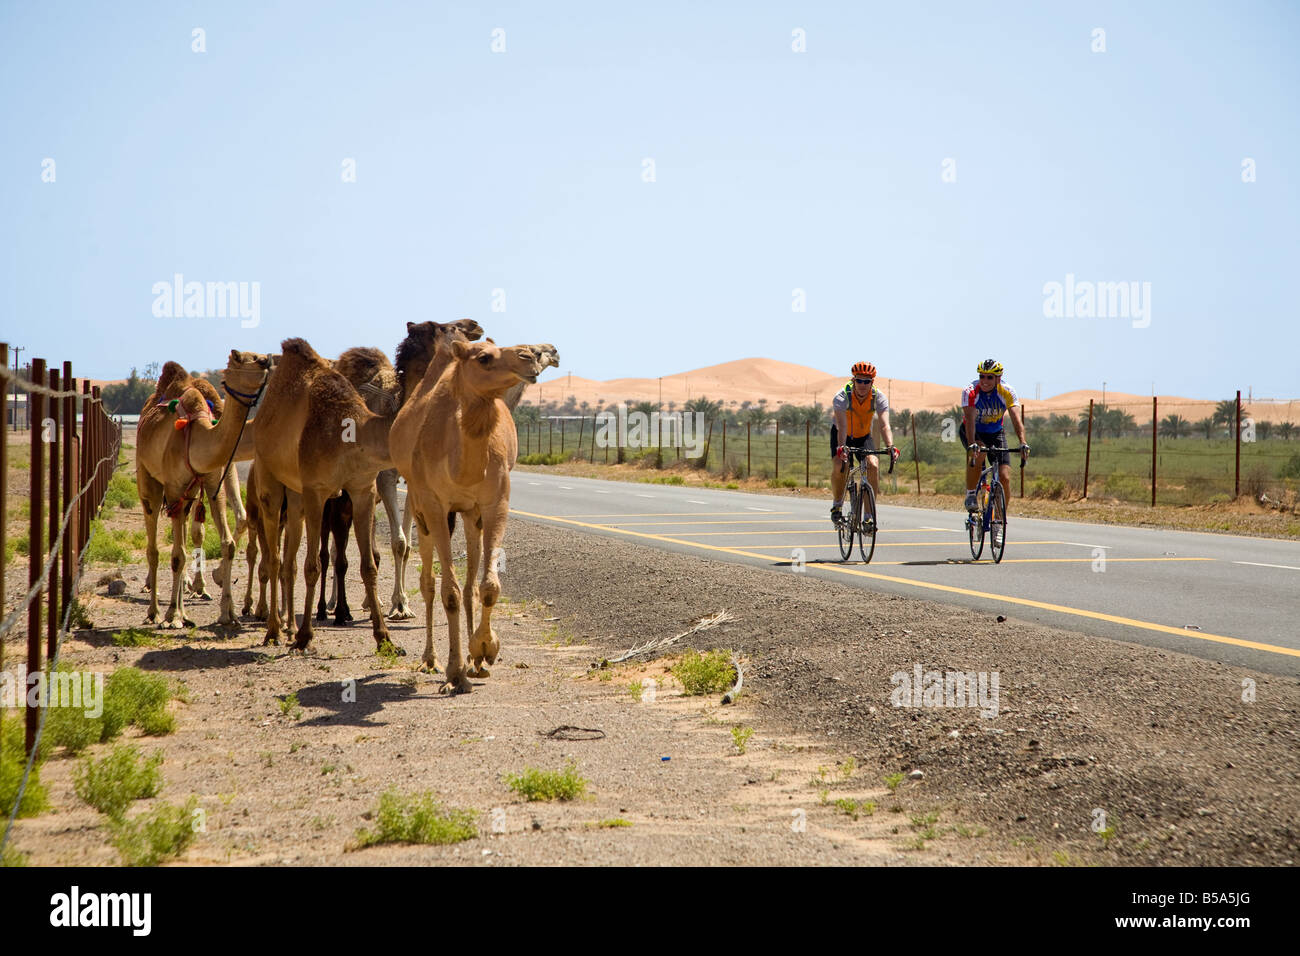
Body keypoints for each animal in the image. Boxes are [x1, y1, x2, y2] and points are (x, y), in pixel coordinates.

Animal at [137, 351, 271, 629]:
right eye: (248, 358)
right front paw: (173, 615)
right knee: (154, 546)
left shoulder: (213, 482)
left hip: (188, 495)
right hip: (149, 479)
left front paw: (228, 613)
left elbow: (227, 542)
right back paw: (155, 611)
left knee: (186, 534)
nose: (268, 359)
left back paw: (187, 605)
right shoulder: (174, 488)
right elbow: (177, 555)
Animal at [248, 335, 397, 650]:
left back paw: (287, 627)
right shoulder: (316, 491)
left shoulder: (363, 489)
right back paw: (274, 630)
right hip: (268, 478)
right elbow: (313, 565)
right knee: (274, 558)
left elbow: (369, 565)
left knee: (288, 559)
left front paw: (384, 637)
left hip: (295, 494)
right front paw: (306, 636)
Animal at [390, 340, 543, 691]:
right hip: (420, 505)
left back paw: (475, 663)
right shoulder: (434, 504)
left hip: (470, 515)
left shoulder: (495, 501)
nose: (530, 355)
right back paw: (430, 660)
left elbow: (487, 586)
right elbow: (449, 592)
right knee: (429, 582)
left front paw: (485, 649)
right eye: (484, 358)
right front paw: (454, 672)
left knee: (472, 580)